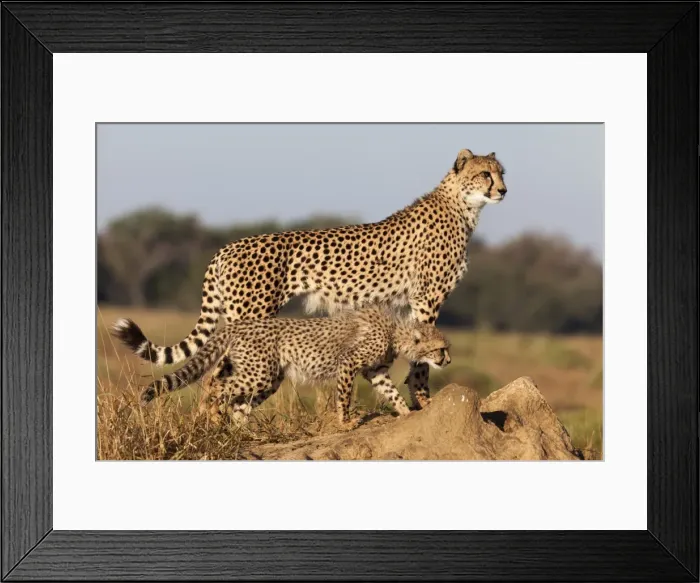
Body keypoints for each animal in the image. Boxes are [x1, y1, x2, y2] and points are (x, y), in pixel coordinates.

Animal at [112, 148, 506, 410]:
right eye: (486, 174)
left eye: (503, 172)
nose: (503, 190)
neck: (464, 205)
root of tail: (227, 247)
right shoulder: (427, 297)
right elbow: (422, 356)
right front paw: (424, 400)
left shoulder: (412, 301)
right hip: (252, 317)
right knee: (216, 378)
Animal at [120, 306, 451, 426]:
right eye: (442, 349)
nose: (448, 360)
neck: (397, 331)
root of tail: (240, 324)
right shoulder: (349, 364)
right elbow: (344, 397)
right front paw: (345, 422)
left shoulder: (375, 370)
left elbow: (391, 391)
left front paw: (407, 412)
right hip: (259, 374)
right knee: (219, 387)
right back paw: (212, 414)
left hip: (267, 378)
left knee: (238, 404)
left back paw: (242, 433)